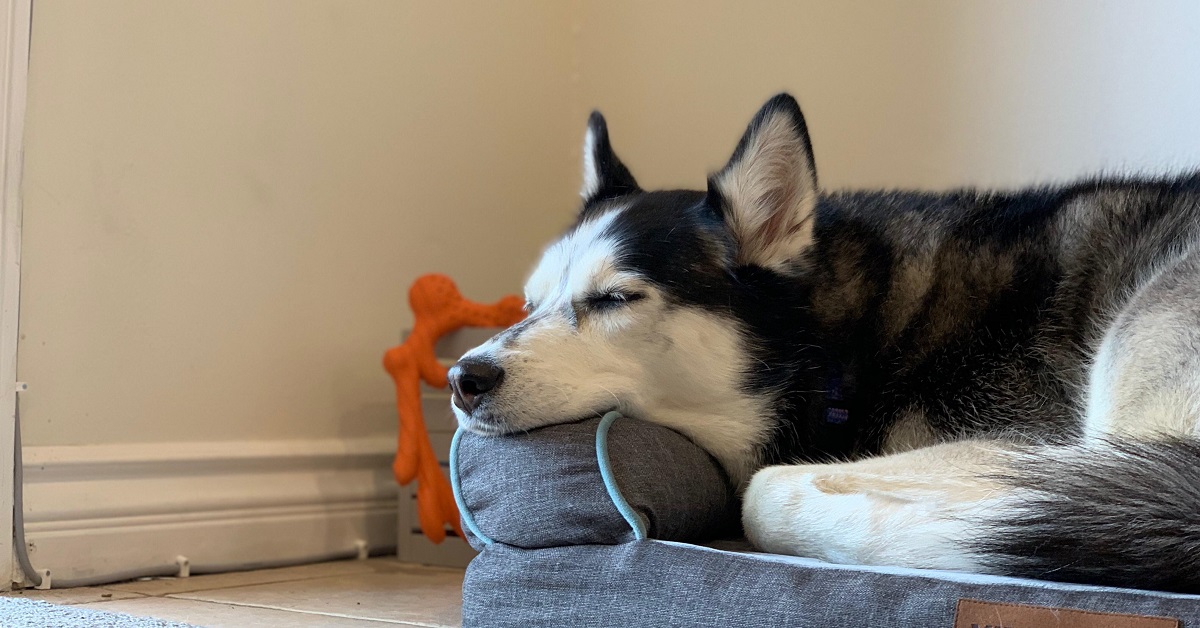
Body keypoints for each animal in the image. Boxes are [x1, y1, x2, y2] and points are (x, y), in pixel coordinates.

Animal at [451, 94, 1200, 595]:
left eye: (614, 299)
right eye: (529, 302)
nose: (463, 377)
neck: (844, 347)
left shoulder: (1019, 434)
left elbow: (765, 493)